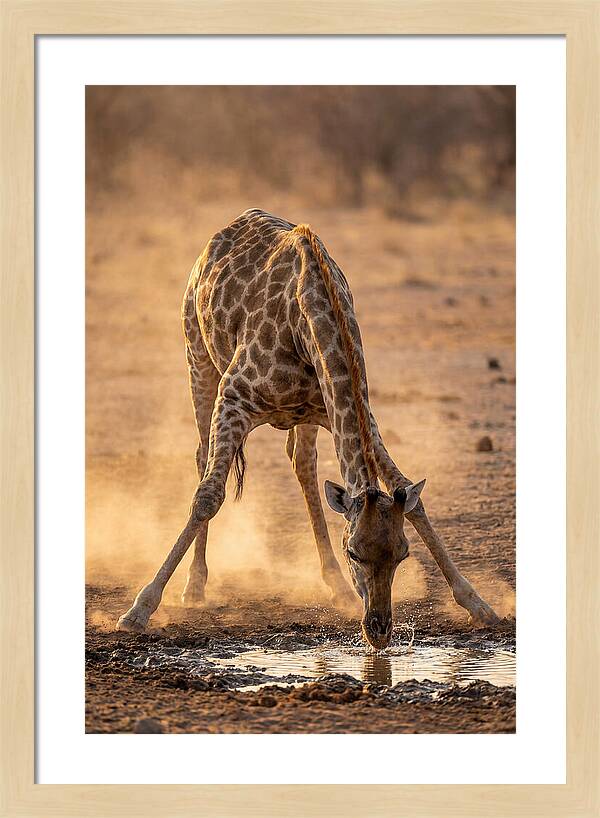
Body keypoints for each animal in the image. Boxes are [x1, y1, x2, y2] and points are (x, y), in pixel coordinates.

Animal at [117, 208, 500, 647]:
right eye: (354, 552)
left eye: (402, 553)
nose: (379, 630)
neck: (310, 318)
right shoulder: (233, 397)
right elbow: (208, 496)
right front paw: (140, 608)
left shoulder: (350, 411)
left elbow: (410, 497)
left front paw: (478, 604)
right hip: (197, 358)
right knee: (203, 460)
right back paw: (195, 587)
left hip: (304, 416)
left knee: (302, 463)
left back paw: (336, 587)